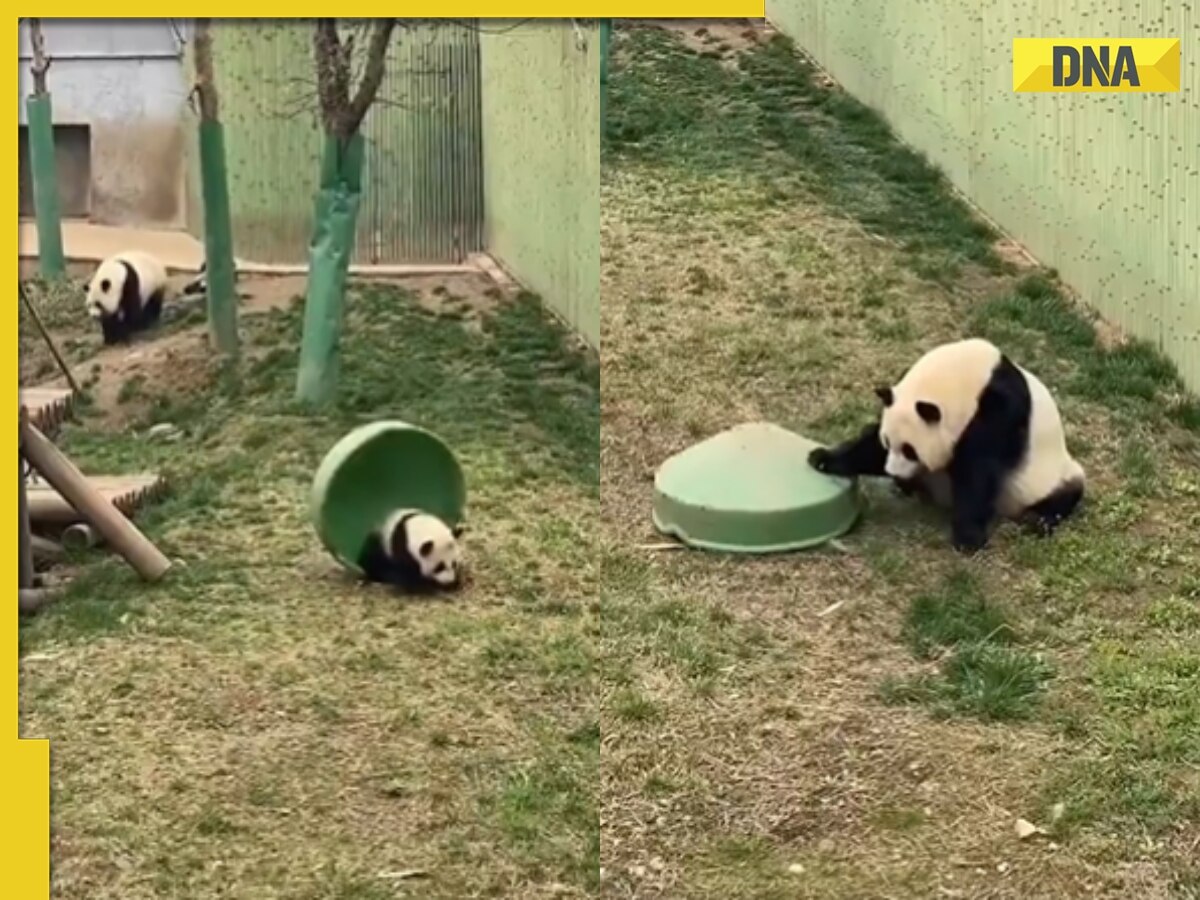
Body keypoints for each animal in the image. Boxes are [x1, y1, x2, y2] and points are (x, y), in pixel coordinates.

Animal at [811, 336, 1084, 554]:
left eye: (910, 451)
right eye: (888, 442)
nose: (893, 472)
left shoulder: (999, 412)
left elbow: (978, 468)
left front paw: (968, 538)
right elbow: (870, 446)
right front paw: (823, 459)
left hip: (1050, 474)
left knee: (1064, 494)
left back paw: (1039, 519)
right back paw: (907, 488)